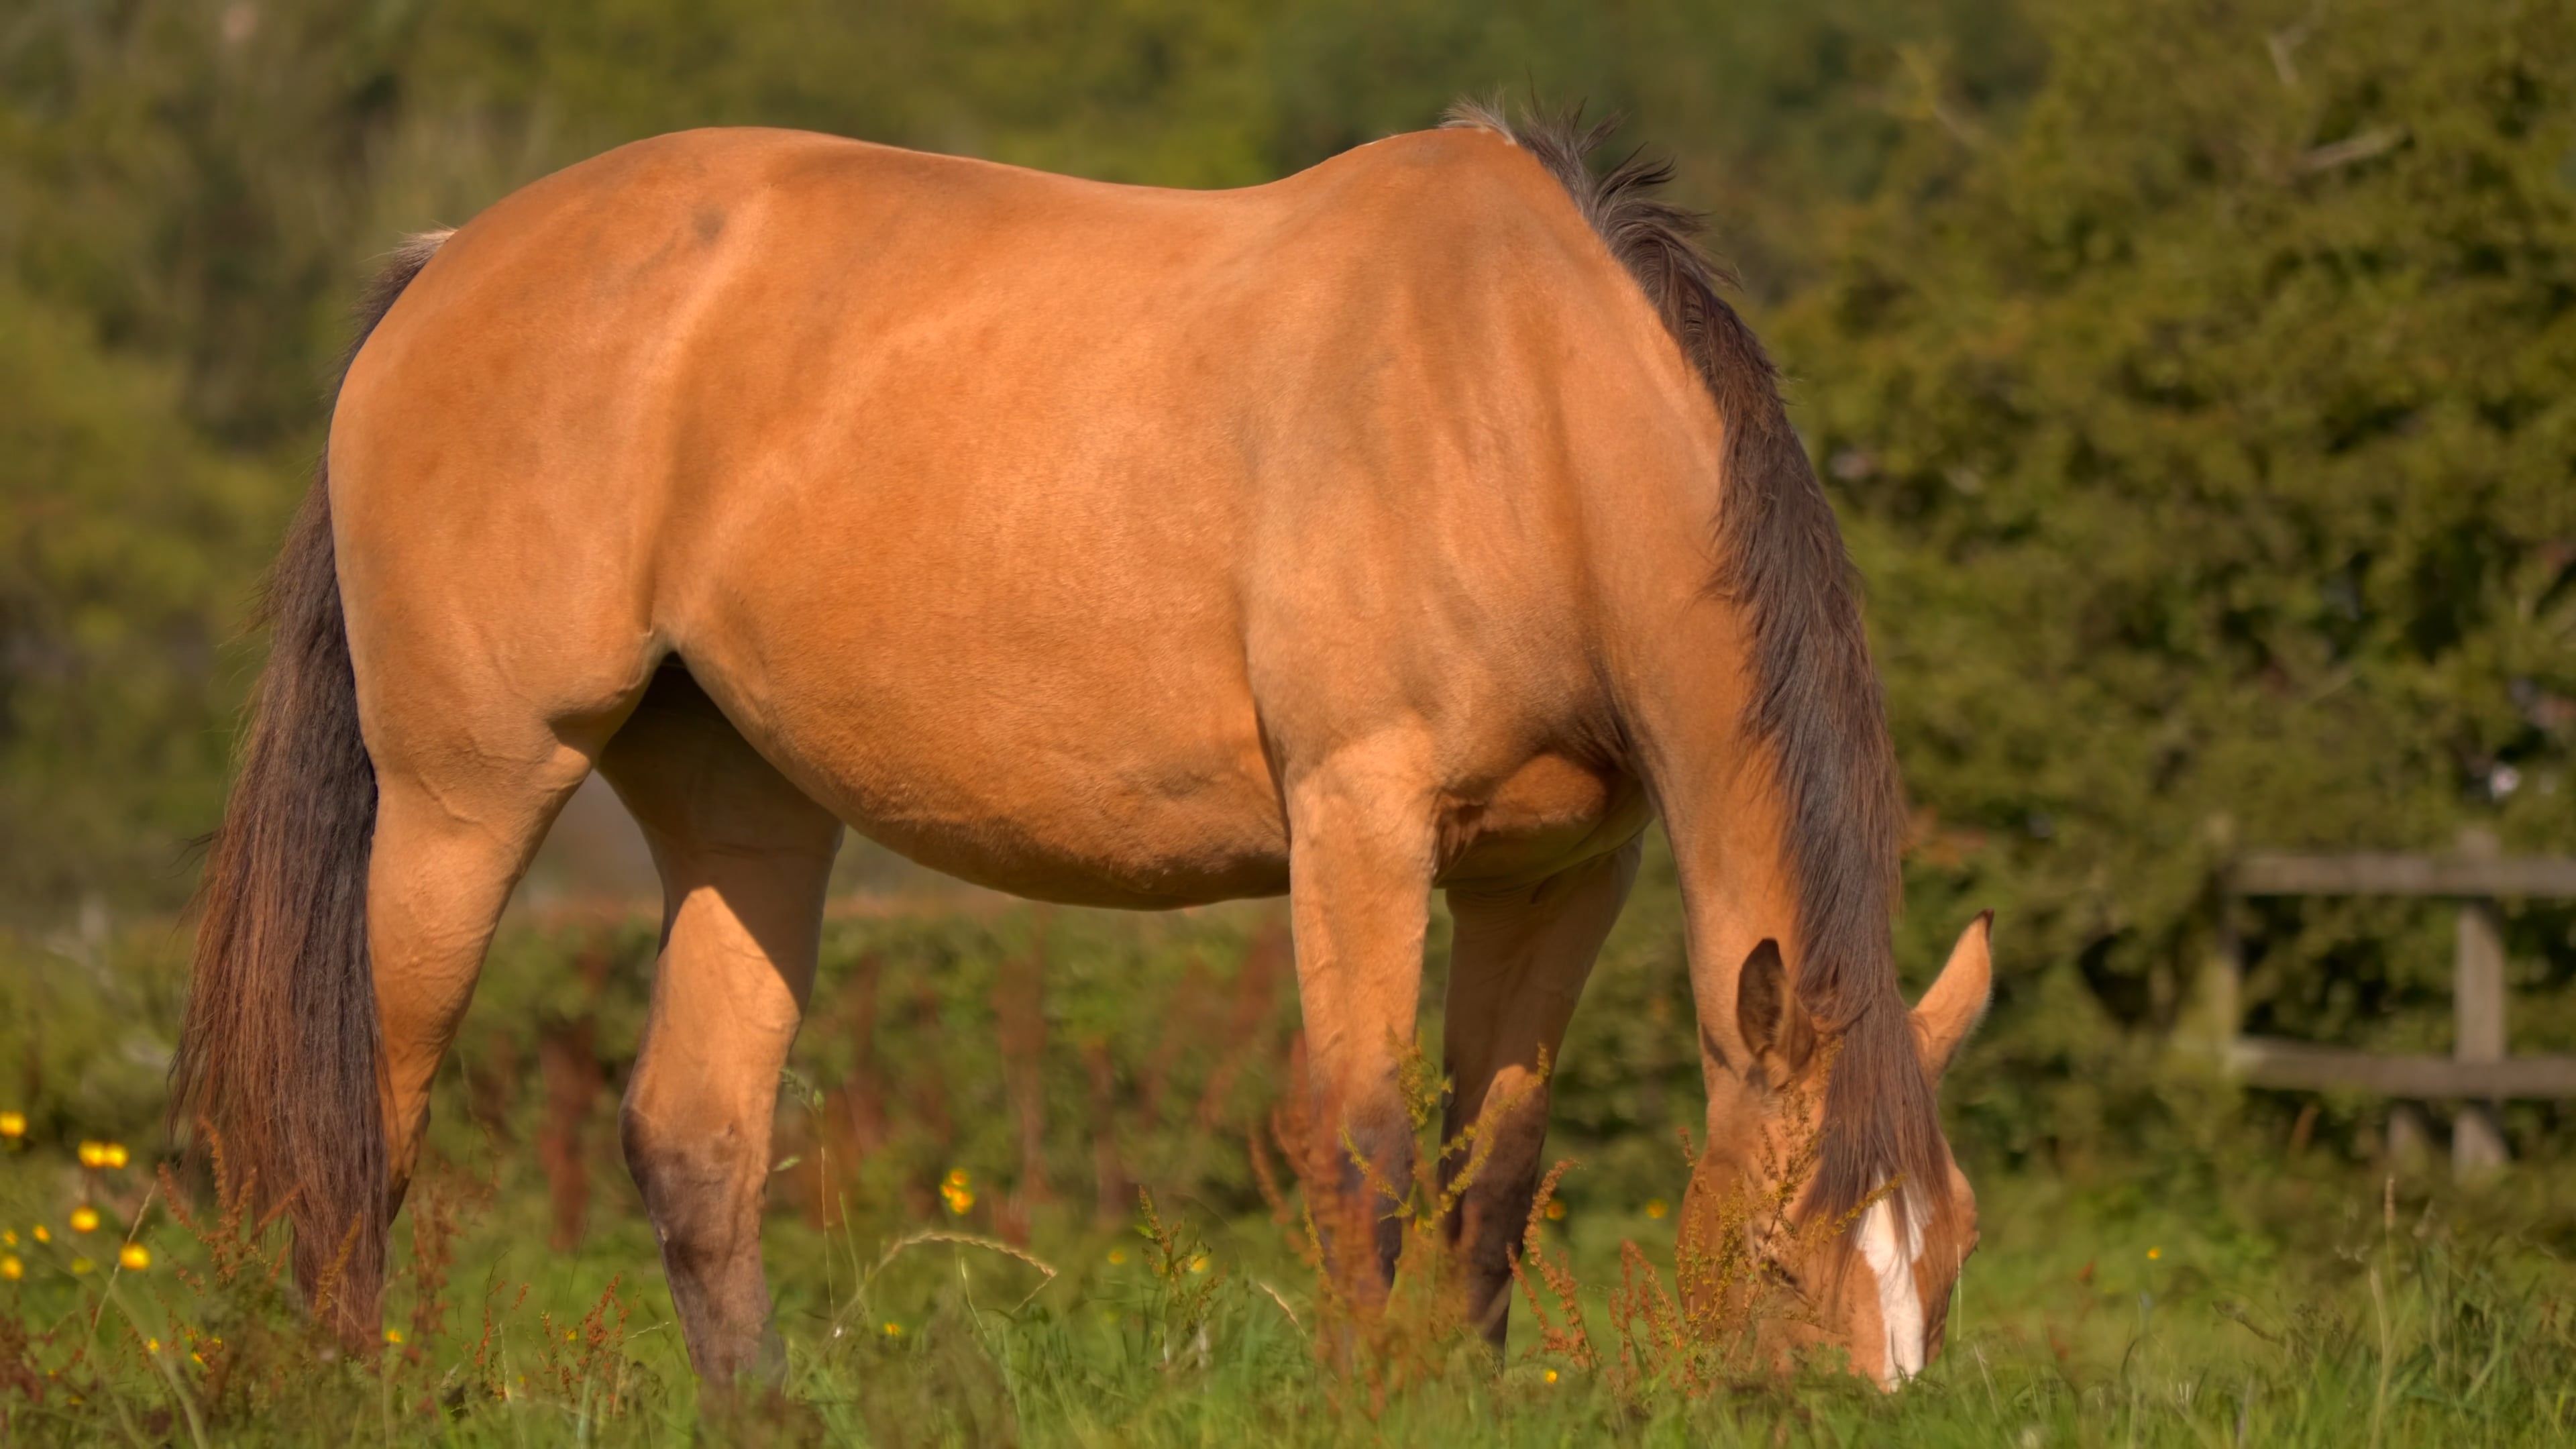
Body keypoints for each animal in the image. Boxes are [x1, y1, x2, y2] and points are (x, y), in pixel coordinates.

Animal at [171, 102, 1992, 1390]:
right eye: (1781, 1258)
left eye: (1947, 1260)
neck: (1514, 402)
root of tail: (448, 260)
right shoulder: (1359, 819)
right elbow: (1365, 1150)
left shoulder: (1555, 876)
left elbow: (1492, 1175)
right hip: (466, 796)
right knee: (368, 1122)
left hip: (742, 812)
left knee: (696, 1141)